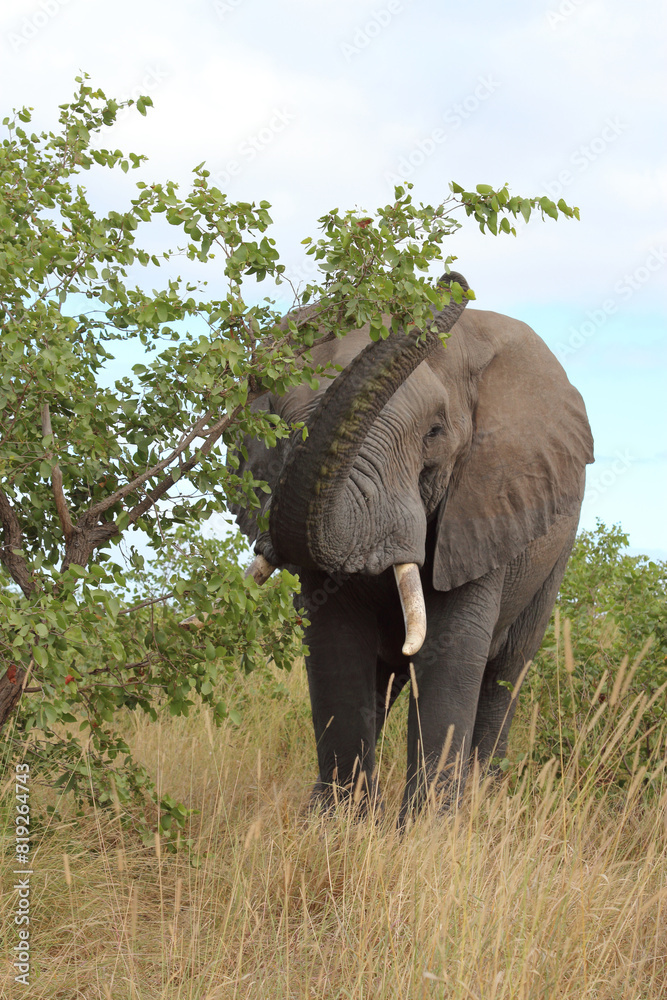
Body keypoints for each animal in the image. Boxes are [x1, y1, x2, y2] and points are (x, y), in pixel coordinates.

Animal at [230, 273, 594, 823]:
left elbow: (450, 649)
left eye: (435, 434)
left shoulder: (485, 506)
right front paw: (336, 826)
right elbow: (336, 643)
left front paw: (431, 830)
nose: (451, 279)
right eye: (285, 431)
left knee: (505, 676)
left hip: (552, 559)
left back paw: (485, 798)